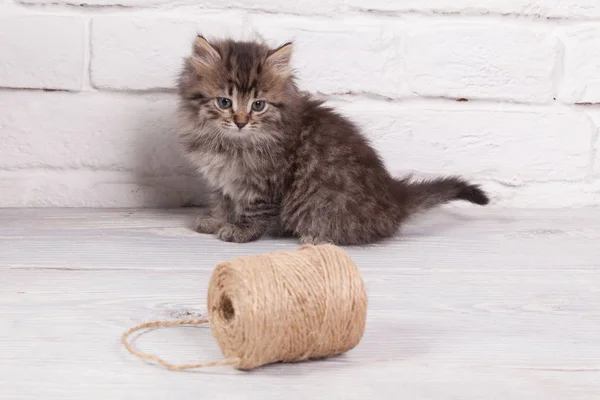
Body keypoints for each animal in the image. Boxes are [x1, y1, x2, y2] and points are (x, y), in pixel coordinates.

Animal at [176, 36, 490, 245]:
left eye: (258, 105)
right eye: (224, 102)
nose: (241, 122)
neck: (229, 143)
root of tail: (394, 199)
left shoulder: (266, 182)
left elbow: (256, 211)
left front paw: (242, 231)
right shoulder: (221, 181)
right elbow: (223, 202)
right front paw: (218, 220)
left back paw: (315, 237)